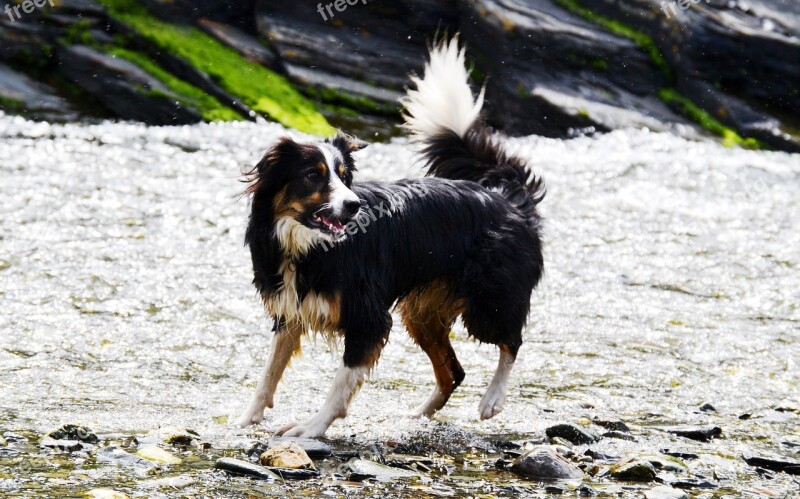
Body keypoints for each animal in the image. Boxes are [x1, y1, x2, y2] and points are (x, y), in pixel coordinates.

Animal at [238, 38, 544, 438]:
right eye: (312, 175)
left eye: (343, 176)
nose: (353, 206)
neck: (307, 247)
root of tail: (507, 199)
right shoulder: (290, 310)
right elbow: (268, 374)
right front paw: (247, 419)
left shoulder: (368, 317)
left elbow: (341, 382)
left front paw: (313, 428)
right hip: (421, 313)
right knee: (454, 371)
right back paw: (419, 415)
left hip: (487, 302)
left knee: (512, 341)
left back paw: (492, 400)